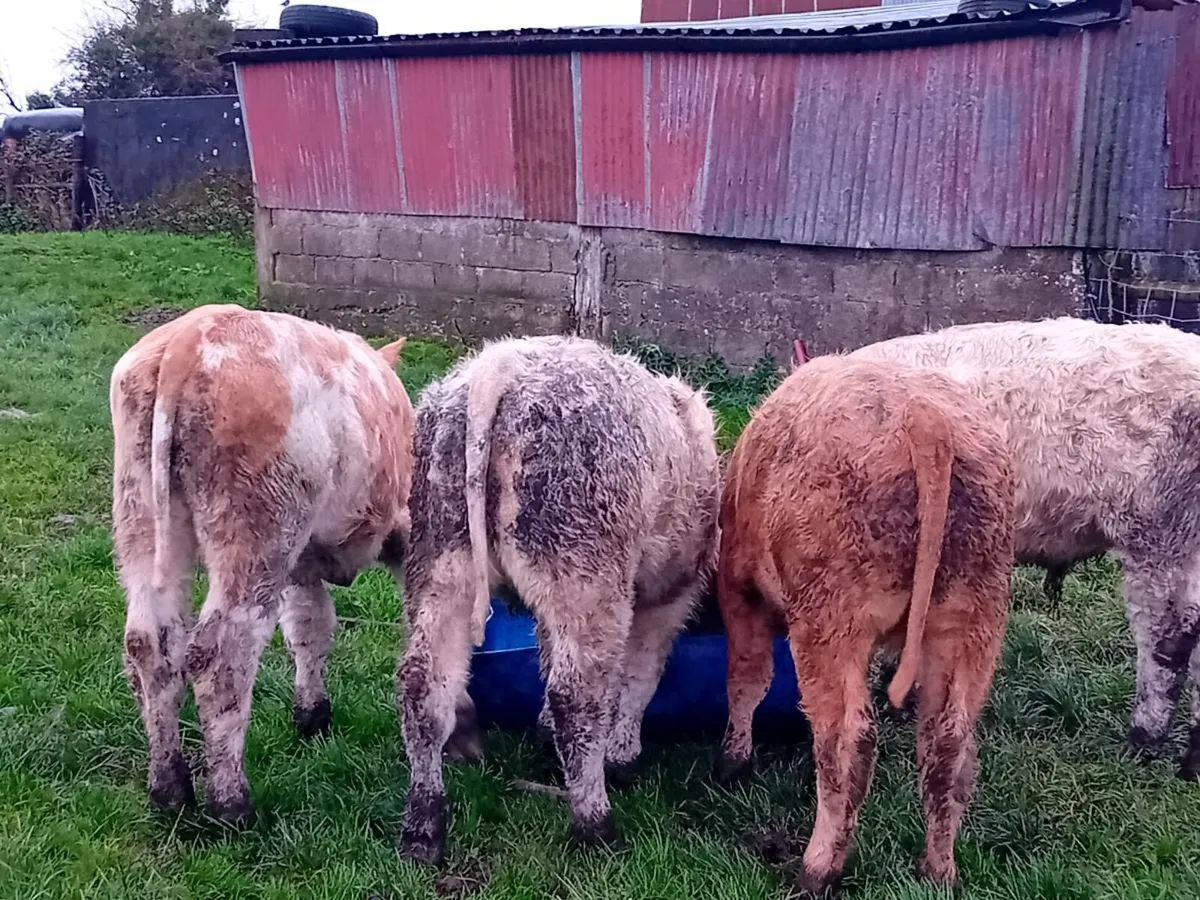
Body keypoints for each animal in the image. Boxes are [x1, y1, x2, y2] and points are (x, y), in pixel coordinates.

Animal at [109, 303, 414, 825]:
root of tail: (188, 338)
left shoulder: (301, 561)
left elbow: (310, 626)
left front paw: (312, 715)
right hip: (256, 533)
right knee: (223, 651)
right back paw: (232, 805)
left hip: (142, 516)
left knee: (150, 643)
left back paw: (170, 791)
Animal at [396, 335, 721, 866]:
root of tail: (496, 367)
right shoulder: (667, 596)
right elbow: (641, 672)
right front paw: (623, 752)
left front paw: (546, 734)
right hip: (584, 575)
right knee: (578, 697)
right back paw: (596, 825)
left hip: (441, 565)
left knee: (424, 689)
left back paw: (424, 830)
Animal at [716, 355, 1015, 894]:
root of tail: (925, 418)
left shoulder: (739, 589)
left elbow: (746, 678)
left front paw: (733, 760)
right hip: (973, 619)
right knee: (949, 742)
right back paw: (938, 871)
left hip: (830, 623)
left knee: (847, 742)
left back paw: (817, 870)